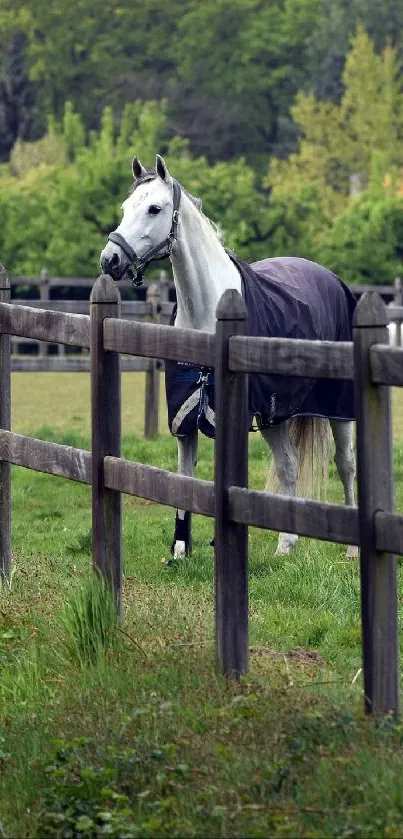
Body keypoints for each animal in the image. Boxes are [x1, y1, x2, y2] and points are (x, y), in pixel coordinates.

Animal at [100, 158, 356, 564]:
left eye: (154, 208)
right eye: (126, 208)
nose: (110, 260)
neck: (207, 310)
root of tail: (331, 278)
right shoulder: (184, 419)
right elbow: (183, 479)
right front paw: (180, 550)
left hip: (338, 407)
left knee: (345, 465)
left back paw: (351, 549)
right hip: (273, 415)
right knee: (288, 464)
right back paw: (286, 545)